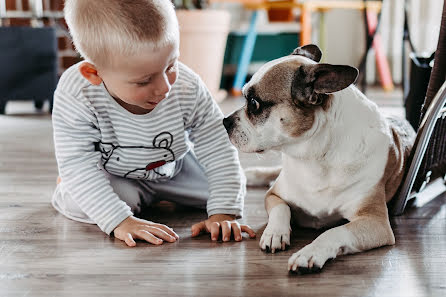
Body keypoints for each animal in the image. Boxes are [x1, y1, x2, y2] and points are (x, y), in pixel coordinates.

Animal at [225, 44, 416, 272]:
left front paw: (310, 252)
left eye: (254, 104)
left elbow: (336, 231)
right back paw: (251, 175)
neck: (313, 153)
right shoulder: (273, 195)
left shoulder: (375, 222)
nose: (225, 121)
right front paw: (275, 233)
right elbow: (281, 209)